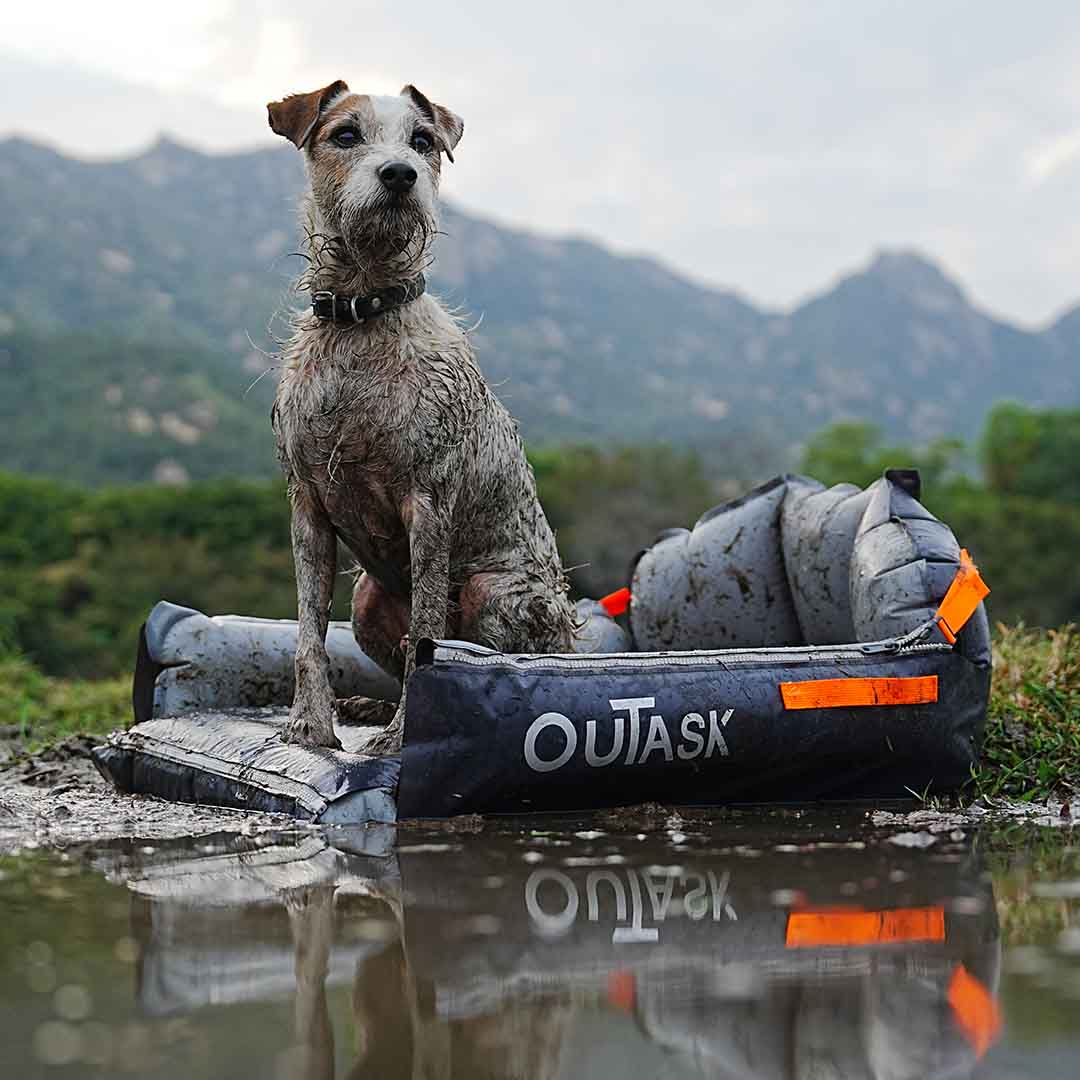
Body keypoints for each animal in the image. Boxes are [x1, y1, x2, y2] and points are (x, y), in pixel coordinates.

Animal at [264, 79, 578, 756]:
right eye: (346, 134)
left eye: (423, 140)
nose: (400, 174)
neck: (363, 315)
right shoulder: (307, 505)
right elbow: (307, 635)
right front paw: (308, 724)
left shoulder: (429, 504)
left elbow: (429, 643)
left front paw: (404, 735)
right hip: (366, 599)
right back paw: (364, 705)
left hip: (493, 593)